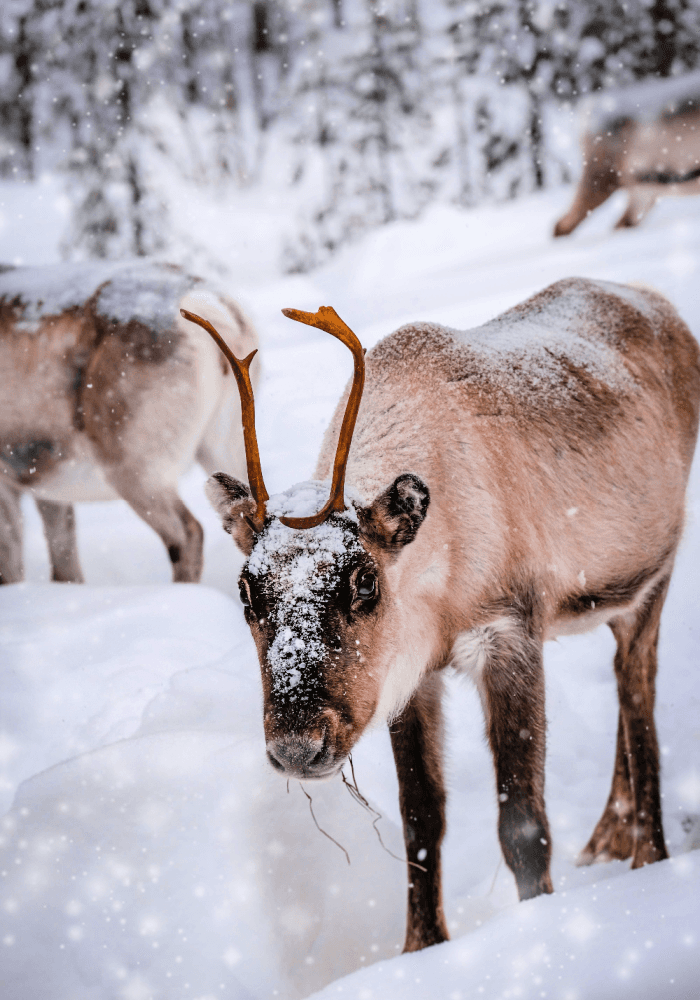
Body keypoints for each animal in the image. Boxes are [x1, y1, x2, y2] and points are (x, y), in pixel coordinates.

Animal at [0, 261, 258, 585]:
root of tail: (207, 304)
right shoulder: (46, 487)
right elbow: (64, 559)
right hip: (227, 444)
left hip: (133, 464)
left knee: (187, 533)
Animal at [182, 275, 700, 953]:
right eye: (247, 591)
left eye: (364, 580)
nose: (298, 744)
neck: (441, 590)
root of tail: (660, 306)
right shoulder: (410, 675)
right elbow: (420, 820)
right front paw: (420, 947)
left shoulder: (509, 634)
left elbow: (523, 824)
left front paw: (539, 924)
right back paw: (607, 840)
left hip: (654, 576)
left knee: (638, 694)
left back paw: (647, 857)